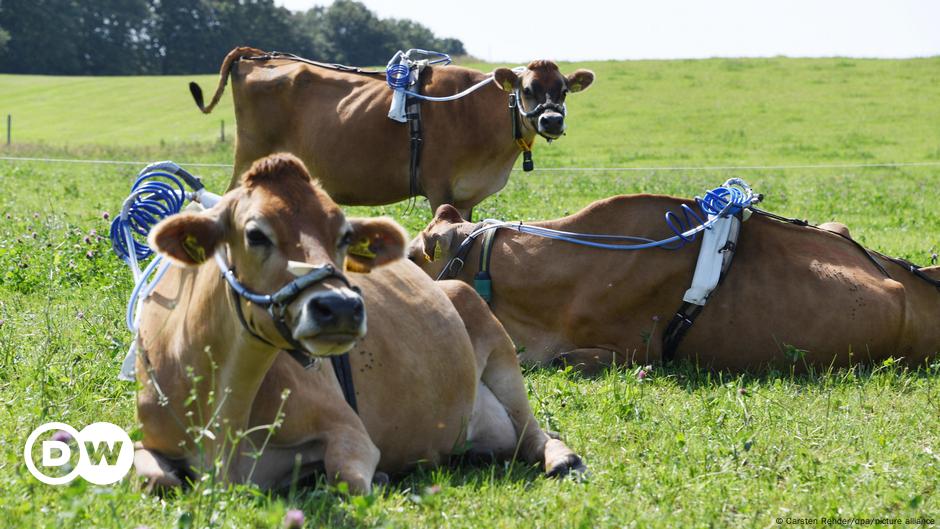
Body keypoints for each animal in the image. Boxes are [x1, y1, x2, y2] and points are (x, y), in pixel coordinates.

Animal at [134, 155, 580, 492]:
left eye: (346, 234)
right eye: (255, 234)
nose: (340, 306)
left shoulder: (348, 428)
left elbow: (346, 478)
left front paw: (377, 477)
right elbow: (154, 477)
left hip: (495, 344)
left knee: (534, 432)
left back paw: (563, 459)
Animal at [189, 47, 596, 217]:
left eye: (563, 90)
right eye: (527, 89)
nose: (552, 121)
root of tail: (258, 56)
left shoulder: (466, 195)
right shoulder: (439, 187)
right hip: (249, 155)